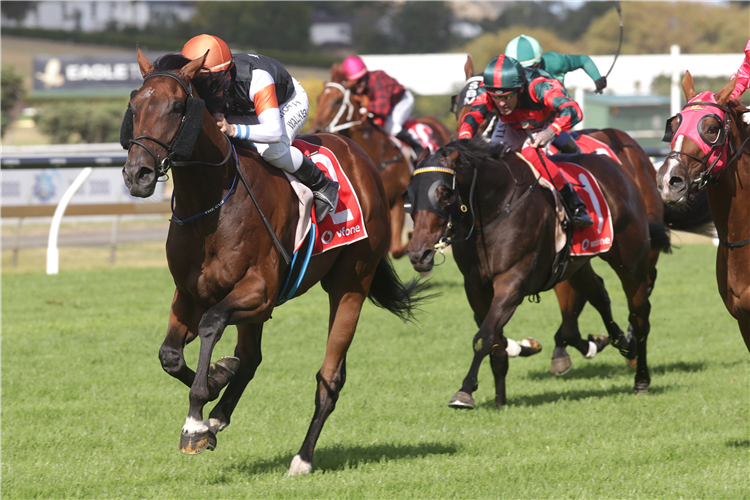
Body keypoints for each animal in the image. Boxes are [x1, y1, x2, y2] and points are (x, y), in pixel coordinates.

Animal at [121, 48, 432, 474]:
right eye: (135, 105)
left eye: (177, 106)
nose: (137, 174)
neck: (210, 206)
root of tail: (361, 157)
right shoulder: (189, 295)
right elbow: (170, 355)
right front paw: (215, 383)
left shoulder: (260, 292)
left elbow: (211, 324)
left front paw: (196, 418)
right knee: (252, 358)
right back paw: (220, 415)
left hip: (350, 284)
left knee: (329, 377)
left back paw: (301, 458)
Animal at [408, 139, 660, 408]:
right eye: (409, 195)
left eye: (444, 193)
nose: (418, 254)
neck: (496, 208)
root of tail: (616, 165)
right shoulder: (475, 287)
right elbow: (494, 341)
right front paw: (500, 400)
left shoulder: (512, 282)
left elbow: (484, 336)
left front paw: (465, 391)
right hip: (578, 265)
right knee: (599, 294)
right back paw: (621, 343)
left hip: (631, 262)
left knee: (639, 315)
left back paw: (641, 378)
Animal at [450, 54, 712, 376]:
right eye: (458, 102)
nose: (462, 148)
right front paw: (525, 346)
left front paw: (569, 347)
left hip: (642, 238)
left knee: (643, 282)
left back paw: (629, 342)